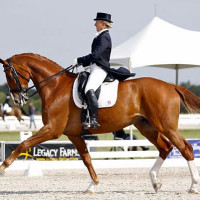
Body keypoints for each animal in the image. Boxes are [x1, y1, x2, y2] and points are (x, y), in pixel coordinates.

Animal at [0, 53, 199, 194]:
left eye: (8, 74)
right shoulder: (73, 134)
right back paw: (156, 182)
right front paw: (92, 186)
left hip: (166, 126)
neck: (55, 87)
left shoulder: (52, 129)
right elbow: (87, 159)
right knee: (165, 148)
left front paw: (2, 168)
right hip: (146, 126)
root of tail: (171, 86)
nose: (17, 100)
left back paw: (193, 186)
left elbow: (23, 143)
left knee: (185, 148)